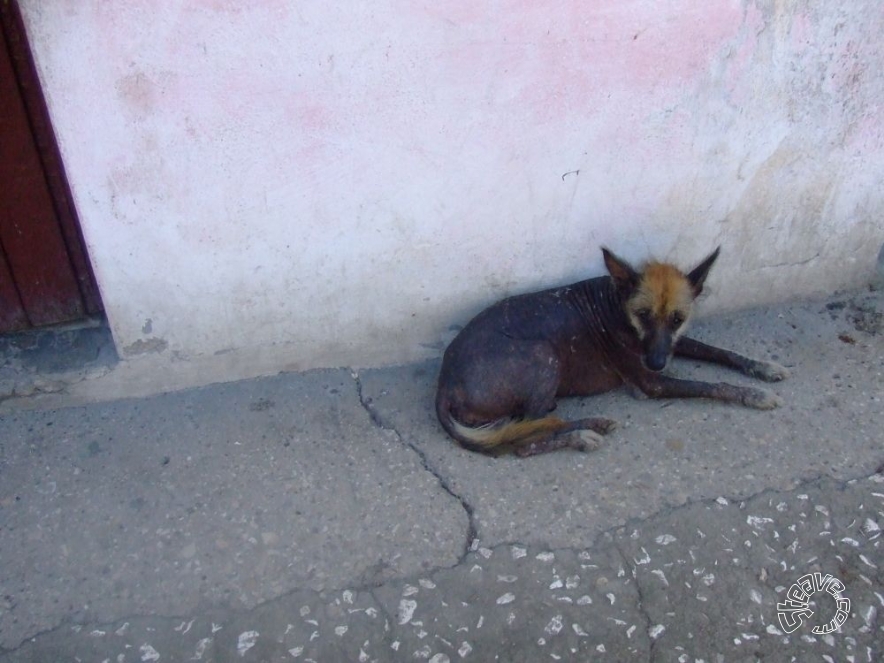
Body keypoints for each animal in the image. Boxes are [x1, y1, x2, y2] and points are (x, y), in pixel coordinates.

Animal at [436, 246, 788, 460]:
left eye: (677, 319)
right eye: (643, 315)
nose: (657, 363)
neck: (617, 305)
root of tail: (444, 385)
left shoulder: (672, 345)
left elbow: (720, 352)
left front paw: (763, 368)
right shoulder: (652, 383)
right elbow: (711, 385)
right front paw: (753, 394)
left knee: (534, 423)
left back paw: (591, 422)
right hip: (543, 354)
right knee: (524, 439)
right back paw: (582, 434)